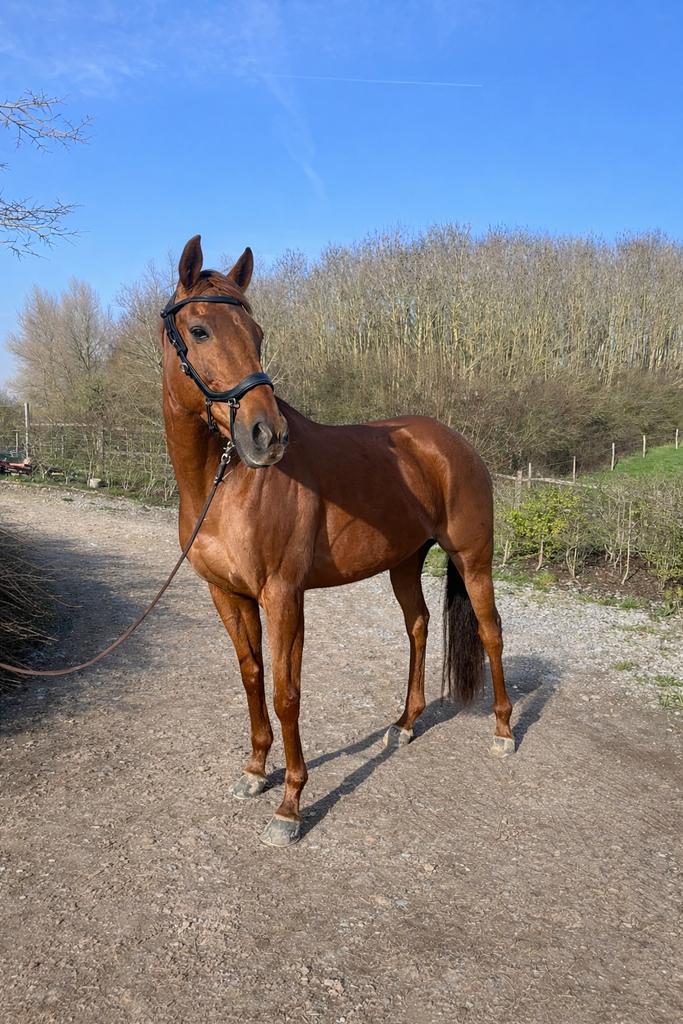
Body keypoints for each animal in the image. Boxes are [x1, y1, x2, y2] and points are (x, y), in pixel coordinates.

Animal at [161, 235, 514, 848]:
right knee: (419, 626)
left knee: (490, 632)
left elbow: (286, 691)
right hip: (404, 562)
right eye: (199, 330)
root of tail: (452, 443)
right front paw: (255, 771)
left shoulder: (284, 595)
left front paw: (290, 806)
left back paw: (502, 730)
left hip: (473, 559)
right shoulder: (227, 594)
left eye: (257, 335)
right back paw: (405, 724)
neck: (225, 483)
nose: (267, 435)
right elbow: (252, 676)